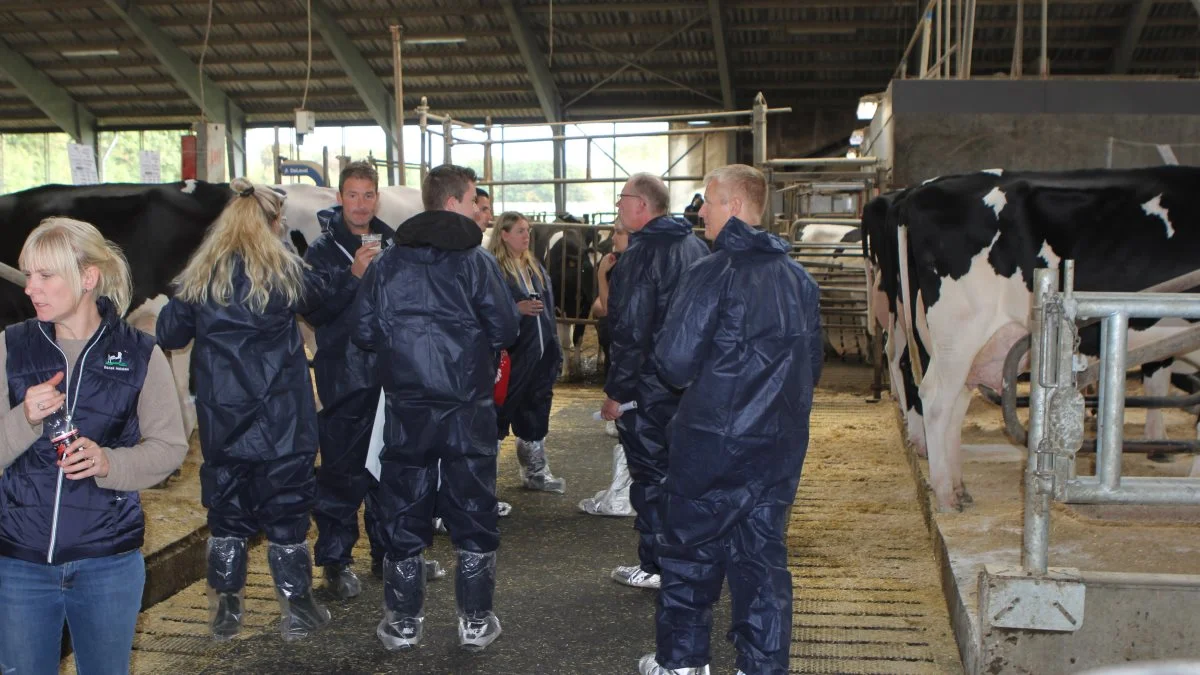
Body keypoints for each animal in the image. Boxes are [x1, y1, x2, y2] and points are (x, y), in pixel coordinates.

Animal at [868, 168, 1200, 509]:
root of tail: (919, 190)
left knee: (952, 399)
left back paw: (958, 486)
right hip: (957, 333)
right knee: (933, 397)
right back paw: (946, 494)